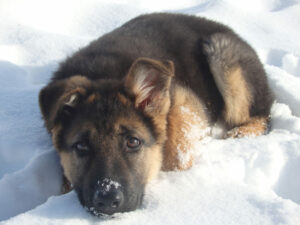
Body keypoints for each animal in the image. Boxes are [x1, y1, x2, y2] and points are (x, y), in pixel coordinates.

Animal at [38, 12, 274, 216]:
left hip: (221, 55)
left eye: (133, 142)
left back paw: (240, 134)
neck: (103, 76)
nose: (107, 200)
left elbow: (176, 152)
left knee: (262, 117)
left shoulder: (184, 101)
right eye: (81, 147)